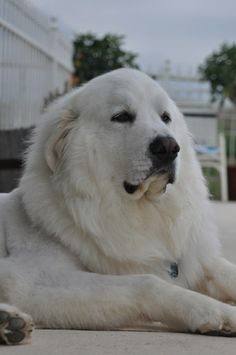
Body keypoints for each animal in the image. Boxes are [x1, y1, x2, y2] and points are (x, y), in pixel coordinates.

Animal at [0, 69, 236, 344]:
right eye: (121, 117)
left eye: (165, 117)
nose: (169, 146)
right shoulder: (32, 279)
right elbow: (147, 283)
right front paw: (219, 312)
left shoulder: (195, 260)